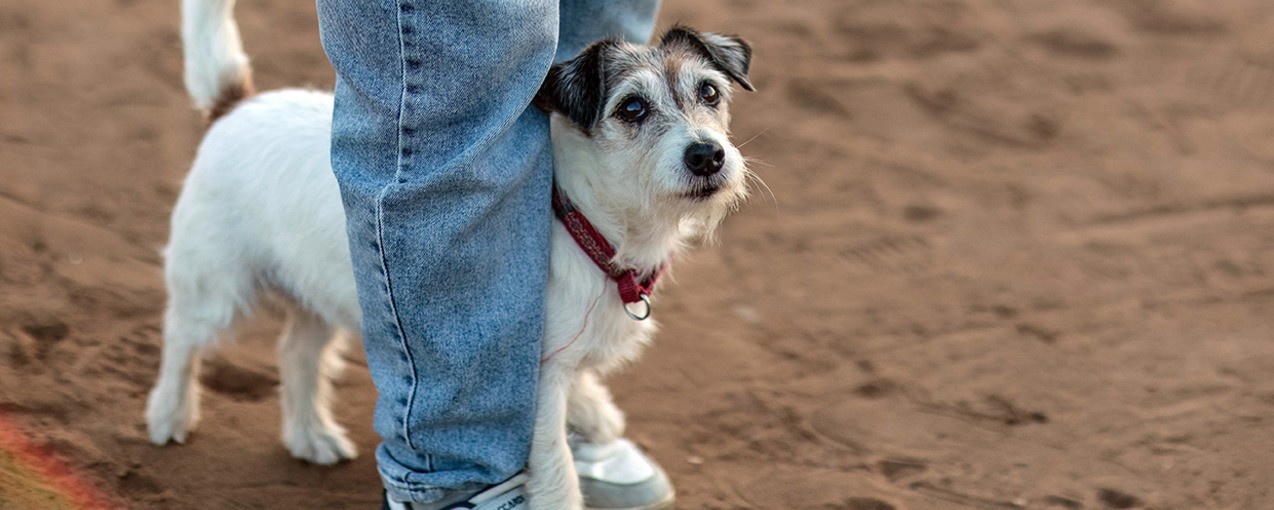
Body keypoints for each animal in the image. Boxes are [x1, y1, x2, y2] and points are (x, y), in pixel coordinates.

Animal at [144, 1, 749, 507]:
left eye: (710, 93)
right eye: (632, 107)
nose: (707, 155)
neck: (585, 215)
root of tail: (235, 105)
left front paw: (597, 414)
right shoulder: (533, 381)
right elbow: (556, 471)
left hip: (321, 293)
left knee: (296, 354)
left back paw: (310, 436)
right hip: (214, 286)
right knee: (181, 337)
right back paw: (169, 415)